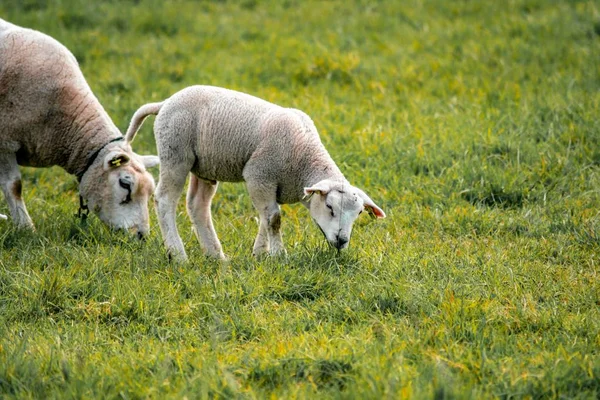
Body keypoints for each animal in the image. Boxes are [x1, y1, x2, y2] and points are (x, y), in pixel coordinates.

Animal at [127, 85, 384, 260]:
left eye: (358, 214)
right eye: (330, 207)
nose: (342, 241)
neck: (304, 158)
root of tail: (165, 103)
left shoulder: (268, 186)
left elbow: (266, 218)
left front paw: (260, 253)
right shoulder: (259, 175)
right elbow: (274, 219)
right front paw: (279, 255)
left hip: (204, 167)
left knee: (198, 205)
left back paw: (216, 255)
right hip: (176, 153)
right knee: (165, 200)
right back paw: (178, 254)